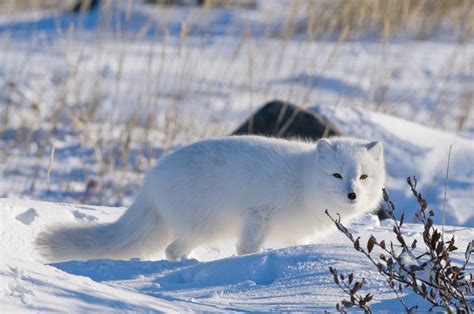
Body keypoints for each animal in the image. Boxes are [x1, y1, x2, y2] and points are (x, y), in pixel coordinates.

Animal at [36, 136, 386, 262]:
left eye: (363, 177)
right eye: (336, 175)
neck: (303, 182)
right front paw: (246, 265)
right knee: (171, 250)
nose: (352, 194)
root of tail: (151, 181)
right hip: (208, 227)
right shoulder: (258, 215)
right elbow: (248, 249)